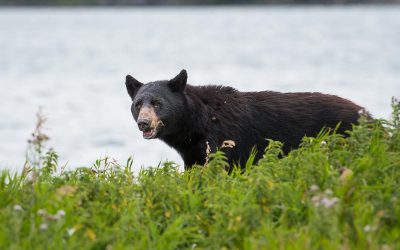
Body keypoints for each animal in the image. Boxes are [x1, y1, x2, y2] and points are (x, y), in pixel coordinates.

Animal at [125, 70, 366, 170]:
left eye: (158, 103)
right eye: (138, 104)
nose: (143, 122)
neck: (198, 123)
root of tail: (367, 113)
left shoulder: (223, 139)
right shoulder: (193, 151)